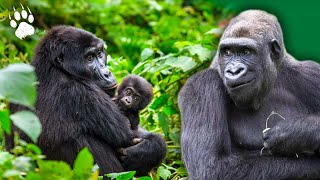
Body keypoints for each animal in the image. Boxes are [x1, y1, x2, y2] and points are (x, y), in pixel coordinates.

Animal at [6, 25, 166, 177]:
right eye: (89, 58)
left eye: (100, 54)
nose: (107, 73)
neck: (54, 68)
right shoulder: (82, 92)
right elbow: (128, 135)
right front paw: (147, 150)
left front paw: (147, 150)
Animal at [179, 10, 320, 180]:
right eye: (227, 52)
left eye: (246, 52)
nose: (234, 71)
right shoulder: (200, 85)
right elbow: (212, 166)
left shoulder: (312, 74)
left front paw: (297, 132)